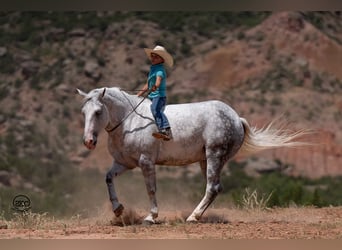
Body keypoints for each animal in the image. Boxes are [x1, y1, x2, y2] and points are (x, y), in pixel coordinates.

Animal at [77, 87, 308, 223]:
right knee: (215, 188)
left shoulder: (146, 162)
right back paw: (195, 215)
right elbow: (108, 178)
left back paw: (193, 217)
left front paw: (151, 217)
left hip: (214, 155)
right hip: (206, 160)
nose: (88, 141)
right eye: (83, 112)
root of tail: (236, 118)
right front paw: (118, 209)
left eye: (98, 112)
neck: (129, 121)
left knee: (212, 187)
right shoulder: (124, 163)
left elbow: (151, 189)